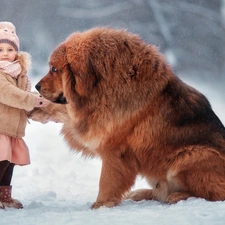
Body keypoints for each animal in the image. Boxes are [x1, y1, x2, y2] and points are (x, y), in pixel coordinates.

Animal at [34, 27, 225, 208]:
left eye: (54, 69)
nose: (36, 86)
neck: (104, 85)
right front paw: (38, 107)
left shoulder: (114, 150)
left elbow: (107, 181)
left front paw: (101, 204)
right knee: (160, 191)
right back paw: (142, 193)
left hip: (190, 155)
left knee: (213, 194)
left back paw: (178, 196)